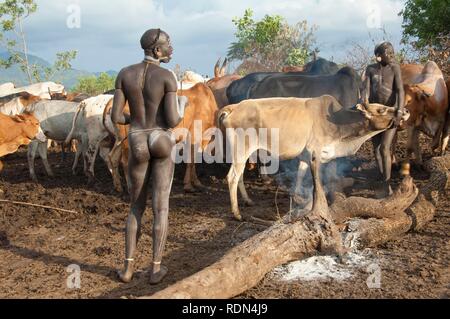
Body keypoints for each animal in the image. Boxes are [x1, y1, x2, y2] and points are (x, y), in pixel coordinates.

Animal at [218, 96, 412, 221]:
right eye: (381, 109)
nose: (405, 111)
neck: (337, 123)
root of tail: (234, 107)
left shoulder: (305, 157)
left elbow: (299, 176)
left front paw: (297, 198)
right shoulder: (314, 155)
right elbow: (316, 183)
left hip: (242, 152)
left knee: (239, 175)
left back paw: (248, 201)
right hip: (241, 149)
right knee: (232, 177)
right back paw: (237, 213)